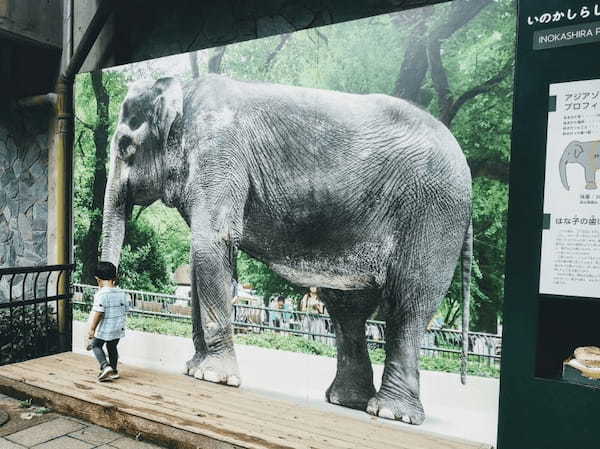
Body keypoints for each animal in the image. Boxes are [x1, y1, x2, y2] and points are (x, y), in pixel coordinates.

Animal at [99, 73, 474, 424]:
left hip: (433, 213)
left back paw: (390, 413)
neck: (183, 92)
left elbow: (211, 245)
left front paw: (214, 377)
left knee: (408, 303)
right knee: (348, 309)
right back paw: (347, 401)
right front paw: (195, 370)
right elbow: (201, 257)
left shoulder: (219, 154)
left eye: (125, 146)